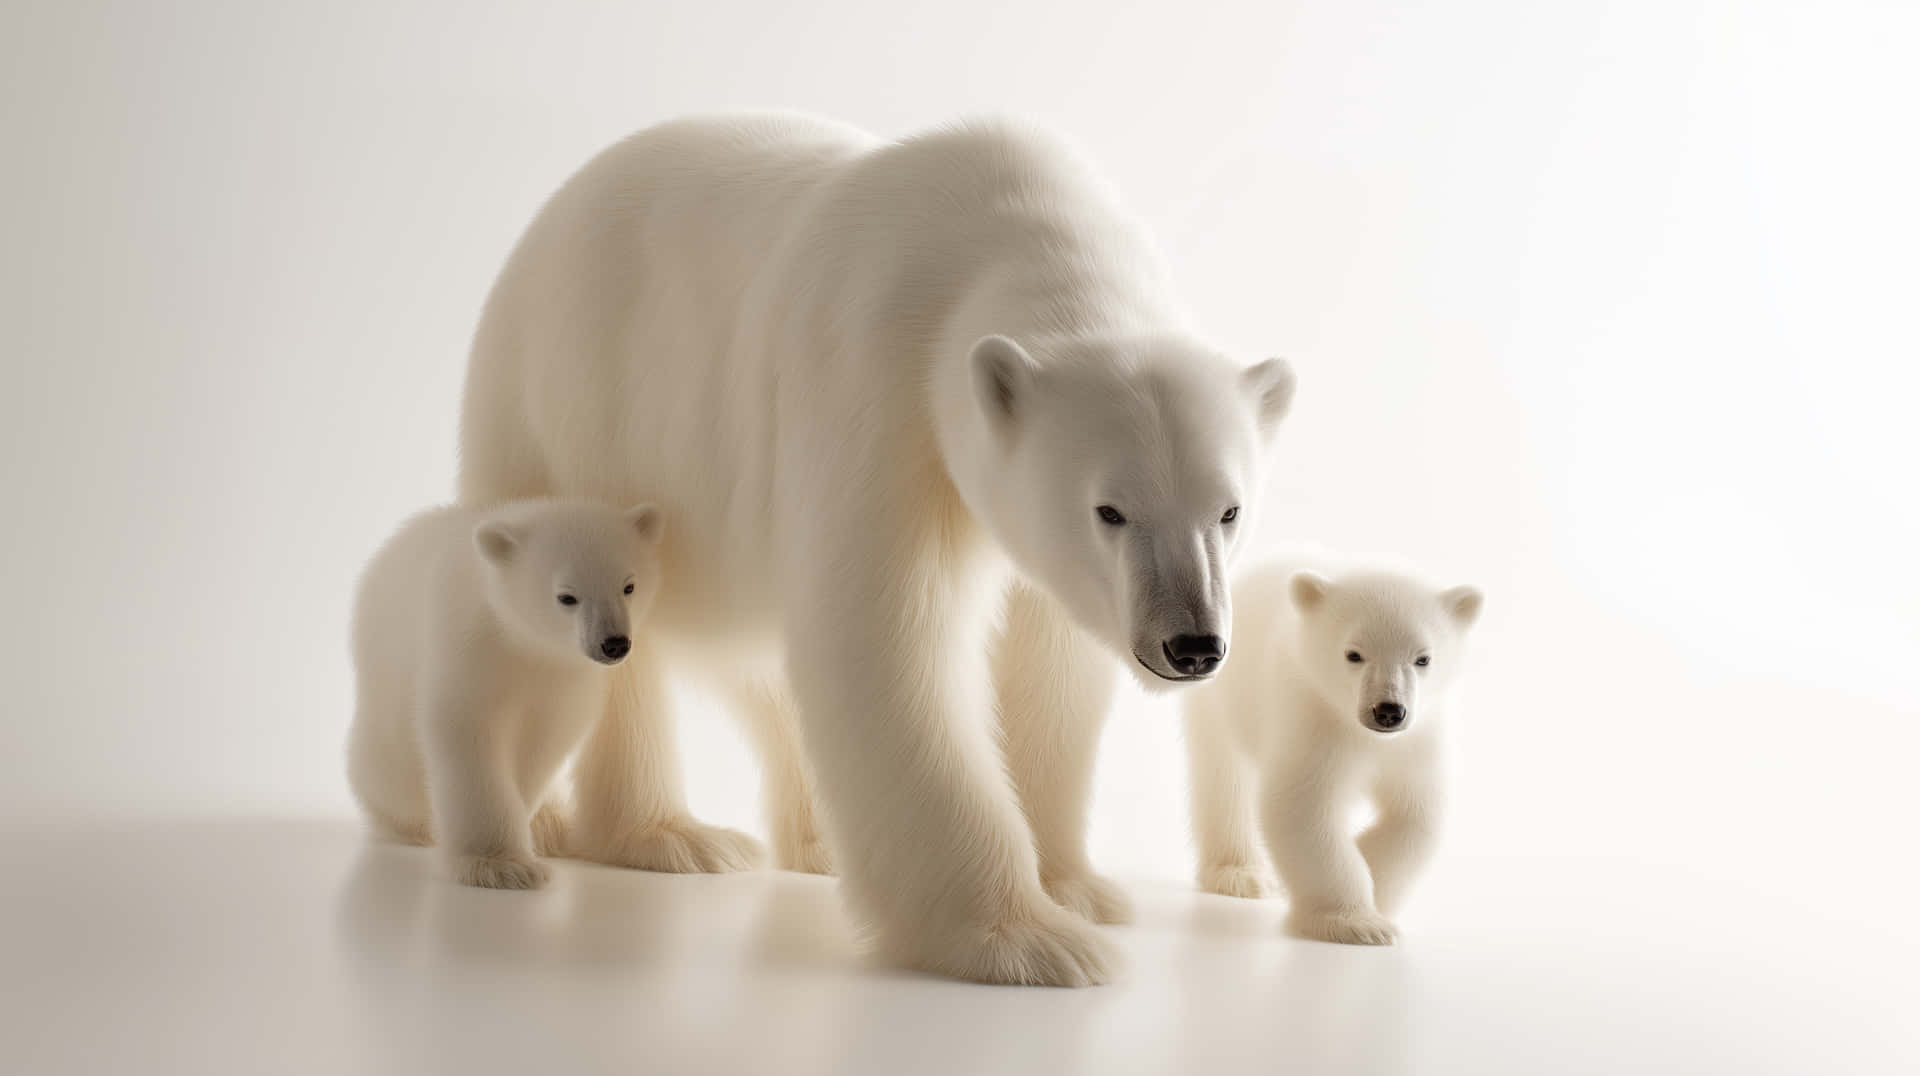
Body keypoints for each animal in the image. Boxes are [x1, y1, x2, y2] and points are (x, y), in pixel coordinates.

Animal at [457, 114, 1296, 983]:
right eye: (1110, 509)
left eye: (1228, 509)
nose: (1192, 644)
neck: (1010, 229)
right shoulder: (877, 387)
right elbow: (887, 642)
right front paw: (1028, 939)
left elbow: (1050, 667)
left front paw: (1076, 887)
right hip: (560, 407)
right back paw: (659, 834)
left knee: (758, 656)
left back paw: (812, 843)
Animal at [1181, 558, 1484, 944]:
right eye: (1353, 654)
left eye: (1423, 658)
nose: (1388, 711)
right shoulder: (1313, 715)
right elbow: (1304, 807)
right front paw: (1356, 922)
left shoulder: (1414, 742)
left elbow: (1416, 812)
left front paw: (1376, 885)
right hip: (1221, 698)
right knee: (1225, 778)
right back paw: (1243, 874)